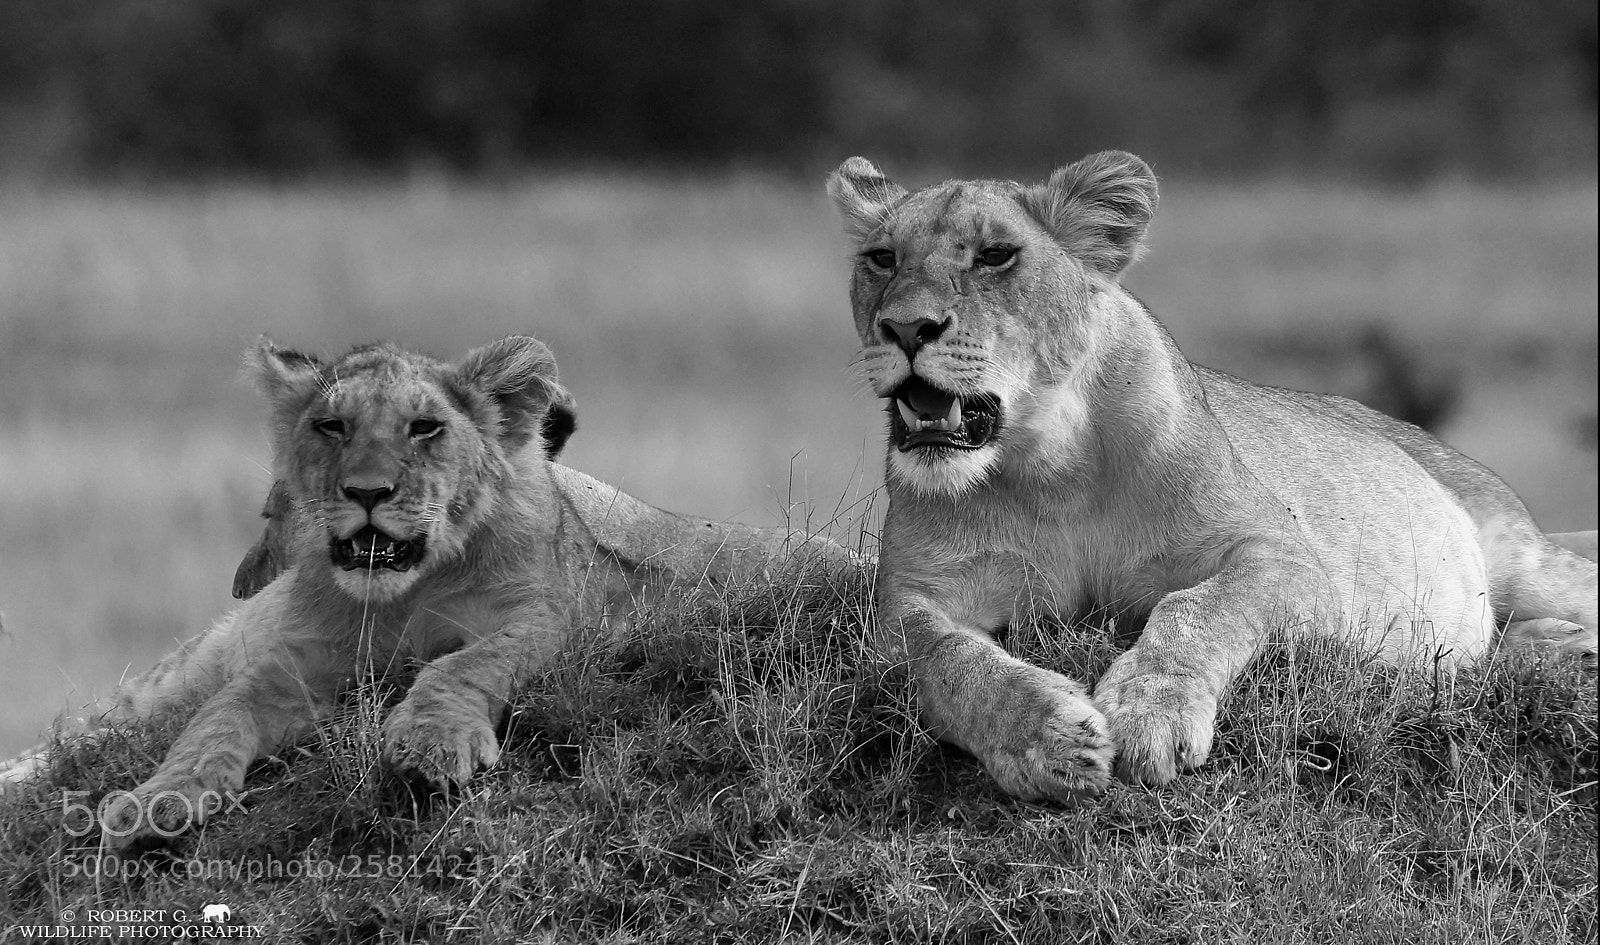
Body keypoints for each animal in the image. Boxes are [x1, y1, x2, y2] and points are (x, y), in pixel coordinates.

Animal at [1, 335, 848, 848]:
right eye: (332, 426)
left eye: (424, 428)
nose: (367, 492)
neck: (405, 589)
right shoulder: (294, 661)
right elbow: (216, 719)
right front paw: (160, 796)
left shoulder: (556, 618)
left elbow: (462, 664)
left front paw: (430, 744)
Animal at [825, 151, 1598, 802]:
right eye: (881, 259)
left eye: (995, 255)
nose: (905, 329)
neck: (1046, 468)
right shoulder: (906, 605)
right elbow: (949, 660)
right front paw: (1047, 737)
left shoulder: (1282, 557)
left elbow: (1199, 609)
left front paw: (1150, 716)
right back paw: (1553, 648)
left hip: (1527, 558)